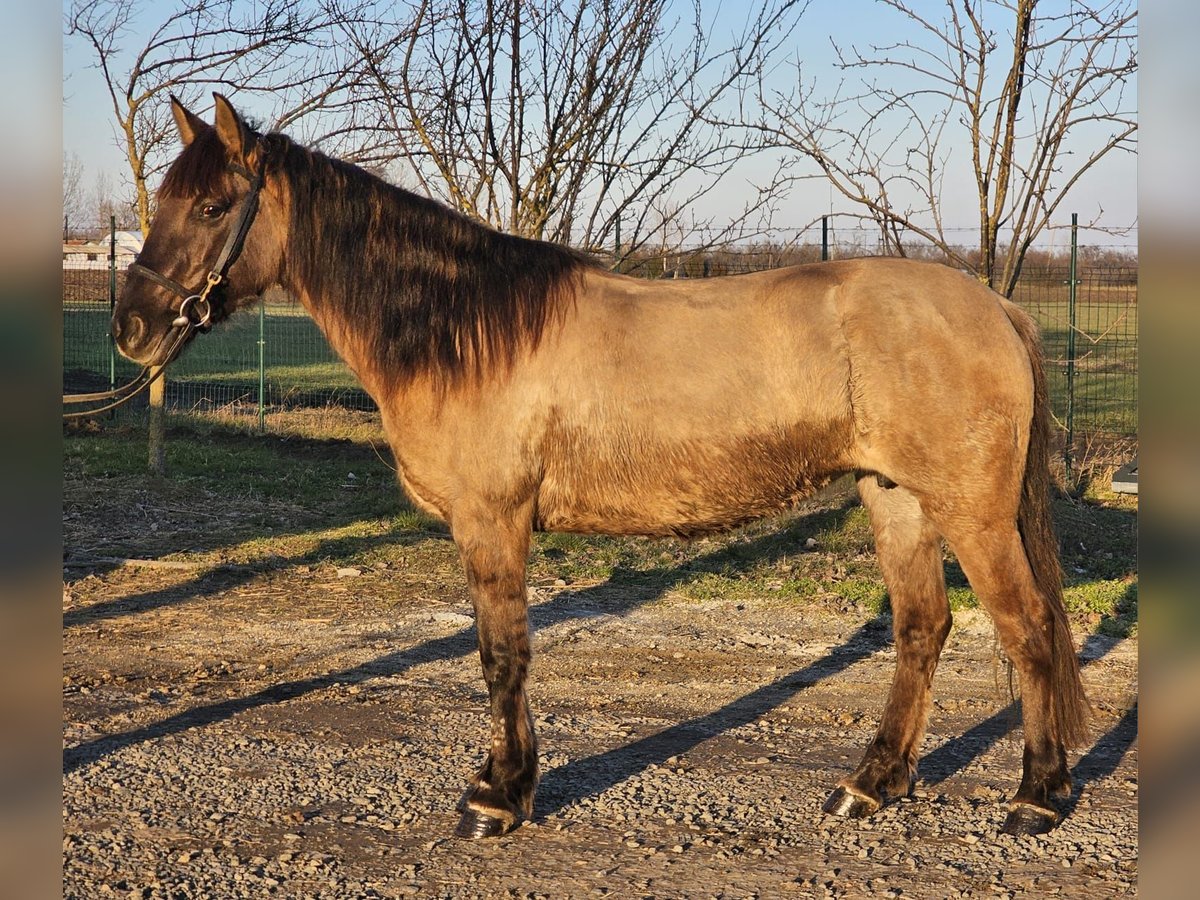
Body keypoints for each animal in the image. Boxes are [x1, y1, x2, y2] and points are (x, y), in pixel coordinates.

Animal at [110, 95, 1089, 844]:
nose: (132, 329)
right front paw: (506, 783)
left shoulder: (493, 520)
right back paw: (870, 785)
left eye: (212, 208)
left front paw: (497, 797)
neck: (465, 329)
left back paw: (1037, 798)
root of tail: (996, 307)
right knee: (923, 630)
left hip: (971, 512)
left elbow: (501, 653)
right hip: (897, 501)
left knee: (1030, 628)